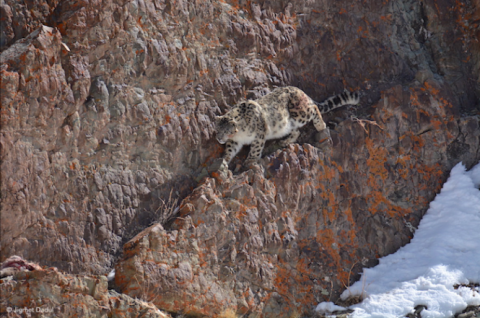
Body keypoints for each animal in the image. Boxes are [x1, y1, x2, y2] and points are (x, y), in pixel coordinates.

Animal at [215, 86, 360, 164]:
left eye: (226, 131)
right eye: (217, 130)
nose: (218, 138)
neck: (240, 134)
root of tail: (301, 91)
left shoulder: (259, 135)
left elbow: (255, 148)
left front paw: (250, 161)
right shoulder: (234, 141)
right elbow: (230, 149)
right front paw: (224, 160)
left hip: (299, 113)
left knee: (314, 108)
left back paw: (321, 125)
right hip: (289, 124)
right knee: (297, 131)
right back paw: (285, 141)